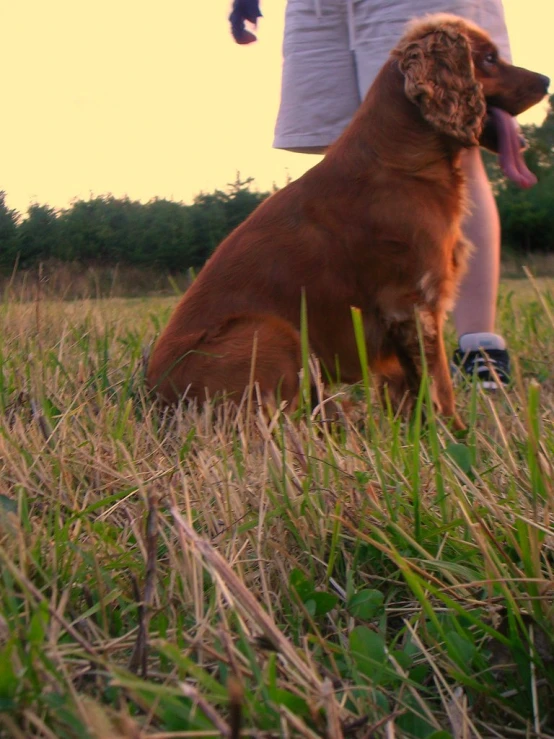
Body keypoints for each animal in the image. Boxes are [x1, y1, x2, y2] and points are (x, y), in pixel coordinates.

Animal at [148, 13, 548, 428]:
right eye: (488, 59)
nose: (545, 81)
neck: (402, 158)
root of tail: (154, 395)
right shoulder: (413, 301)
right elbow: (437, 382)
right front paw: (454, 432)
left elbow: (408, 386)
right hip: (272, 332)